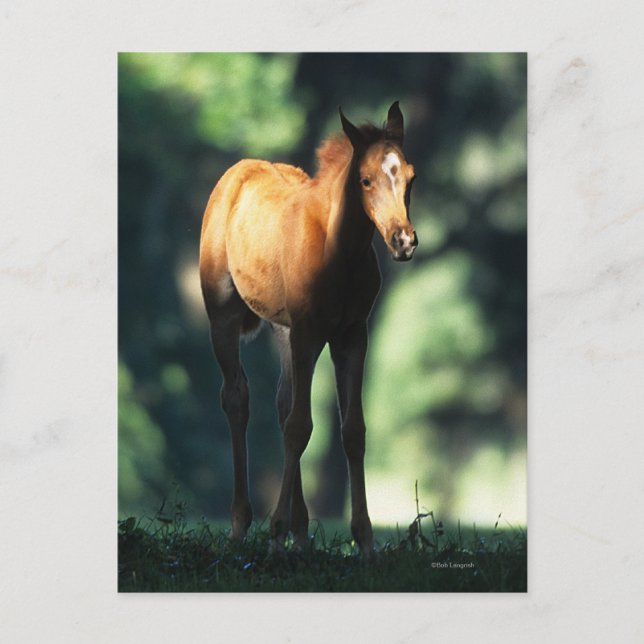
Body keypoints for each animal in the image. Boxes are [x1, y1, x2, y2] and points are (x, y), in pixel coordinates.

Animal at [199, 101, 417, 555]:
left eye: (410, 176)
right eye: (365, 179)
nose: (403, 241)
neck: (340, 253)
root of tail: (236, 173)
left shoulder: (352, 334)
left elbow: (351, 430)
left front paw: (365, 542)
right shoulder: (309, 331)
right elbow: (300, 427)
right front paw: (274, 530)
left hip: (283, 330)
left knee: (284, 404)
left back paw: (300, 535)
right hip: (224, 317)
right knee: (237, 398)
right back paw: (242, 525)